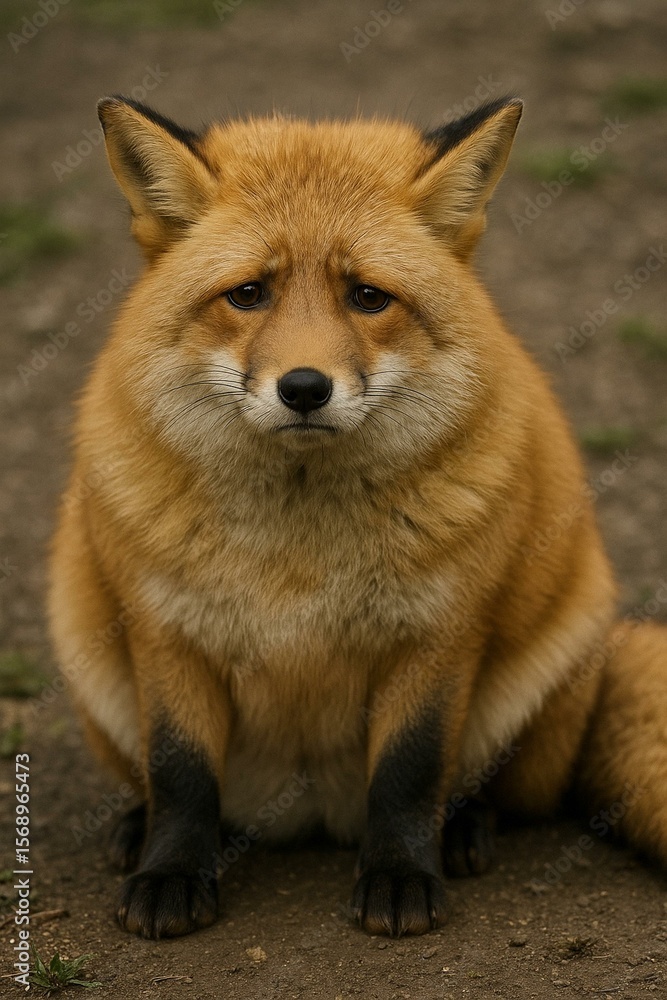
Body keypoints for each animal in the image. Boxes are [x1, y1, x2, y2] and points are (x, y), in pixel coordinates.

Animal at [48, 93, 667, 940]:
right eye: (249, 293)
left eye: (367, 296)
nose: (305, 388)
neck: (298, 556)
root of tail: (306, 813)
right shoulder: (165, 631)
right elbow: (179, 774)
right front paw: (171, 874)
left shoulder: (437, 634)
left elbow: (408, 773)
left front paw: (400, 877)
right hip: (92, 666)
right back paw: (132, 829)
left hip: (539, 687)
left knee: (491, 796)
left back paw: (463, 831)